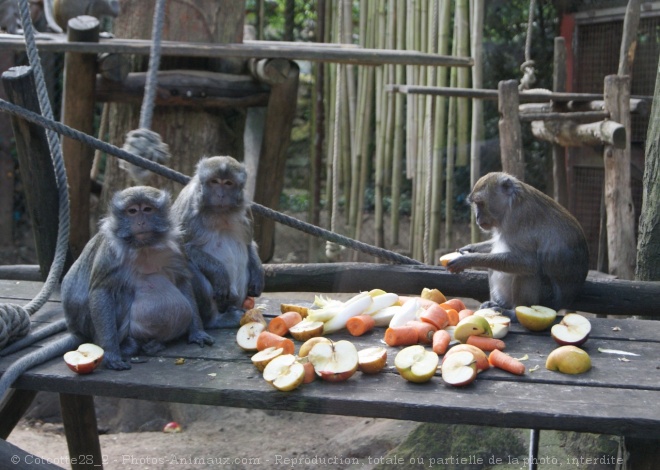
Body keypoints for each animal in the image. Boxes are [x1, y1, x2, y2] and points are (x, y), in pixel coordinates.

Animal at [173, 156, 266, 328]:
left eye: (228, 183)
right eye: (215, 182)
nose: (221, 195)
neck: (220, 213)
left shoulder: (246, 209)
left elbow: (249, 243)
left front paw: (258, 273)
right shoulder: (188, 207)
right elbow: (179, 250)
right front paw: (219, 273)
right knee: (189, 266)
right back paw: (215, 320)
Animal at [446, 172, 592, 312]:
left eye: (480, 203)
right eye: (476, 204)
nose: (477, 217)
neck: (511, 203)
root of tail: (562, 303)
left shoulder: (518, 218)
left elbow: (529, 262)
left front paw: (469, 259)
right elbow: (496, 243)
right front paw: (470, 248)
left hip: (547, 300)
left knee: (529, 271)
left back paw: (514, 311)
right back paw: (500, 303)